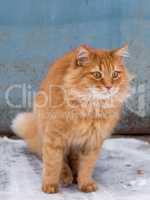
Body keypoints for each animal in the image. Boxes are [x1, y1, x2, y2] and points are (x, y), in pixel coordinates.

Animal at [11, 43, 130, 192]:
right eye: (97, 74)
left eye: (115, 74)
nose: (109, 87)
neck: (91, 106)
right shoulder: (54, 137)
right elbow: (53, 164)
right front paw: (50, 185)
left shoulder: (93, 141)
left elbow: (86, 166)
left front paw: (85, 183)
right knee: (57, 160)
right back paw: (65, 176)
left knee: (73, 160)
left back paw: (74, 174)